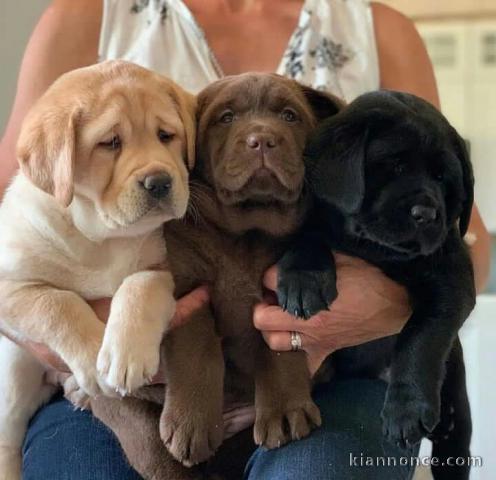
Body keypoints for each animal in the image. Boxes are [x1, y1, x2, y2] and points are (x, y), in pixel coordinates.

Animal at [0, 60, 196, 476]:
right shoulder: (9, 285)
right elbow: (57, 303)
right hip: (13, 373)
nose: (159, 181)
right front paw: (92, 359)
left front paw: (125, 355)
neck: (103, 238)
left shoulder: (169, 265)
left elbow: (139, 283)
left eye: (166, 135)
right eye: (110, 143)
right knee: (6, 438)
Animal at [280, 91, 476, 480]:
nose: (427, 215)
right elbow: (308, 234)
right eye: (394, 166)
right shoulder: (311, 218)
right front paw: (303, 280)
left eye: (443, 179)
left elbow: (423, 333)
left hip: (458, 417)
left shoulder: (453, 275)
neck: (373, 250)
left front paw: (407, 407)